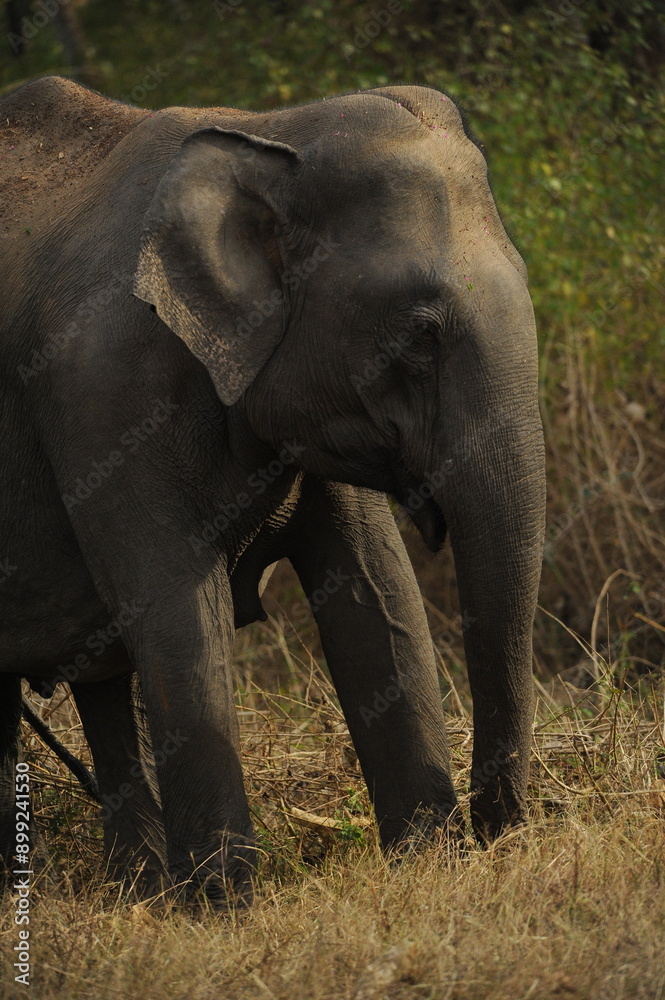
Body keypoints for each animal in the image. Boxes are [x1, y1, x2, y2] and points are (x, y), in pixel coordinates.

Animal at [0, 75, 546, 904]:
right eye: (419, 336)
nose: (498, 832)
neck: (270, 135)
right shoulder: (99, 395)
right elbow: (177, 611)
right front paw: (224, 905)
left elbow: (376, 591)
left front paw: (428, 864)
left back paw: (133, 892)